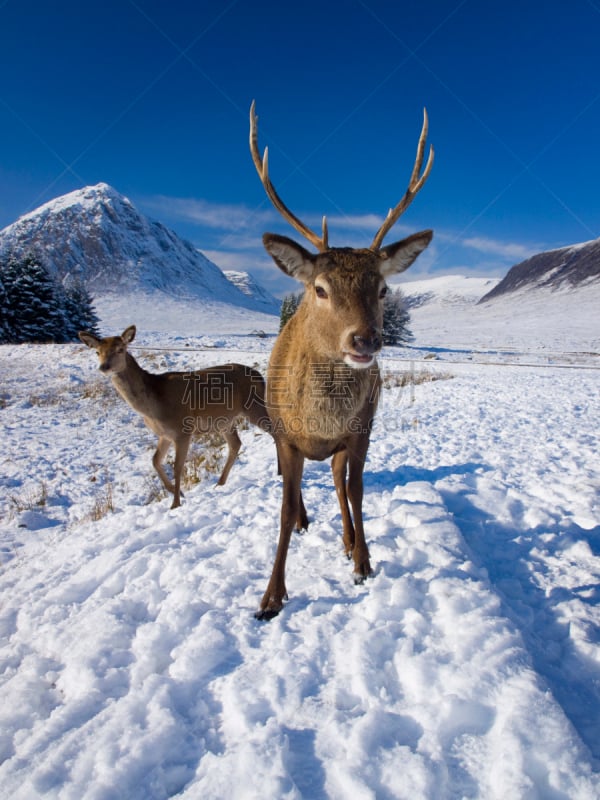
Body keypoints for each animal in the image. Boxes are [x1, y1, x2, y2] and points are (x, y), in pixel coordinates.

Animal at [79, 328, 270, 510]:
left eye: (120, 349)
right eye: (97, 352)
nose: (104, 367)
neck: (154, 406)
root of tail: (260, 376)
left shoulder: (183, 429)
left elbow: (177, 467)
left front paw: (176, 503)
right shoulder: (164, 434)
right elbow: (155, 460)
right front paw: (178, 493)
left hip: (254, 407)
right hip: (226, 421)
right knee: (236, 443)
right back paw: (219, 484)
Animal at [251, 100, 434, 620]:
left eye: (384, 288)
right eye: (320, 288)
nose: (366, 339)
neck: (319, 420)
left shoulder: (360, 428)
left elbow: (356, 489)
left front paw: (363, 560)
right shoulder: (286, 436)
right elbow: (284, 507)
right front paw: (270, 597)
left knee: (338, 482)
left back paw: (349, 541)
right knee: (300, 489)